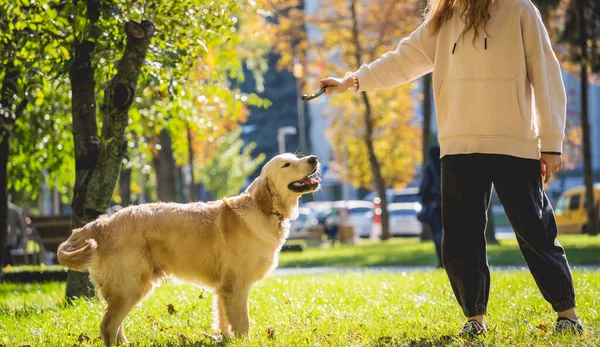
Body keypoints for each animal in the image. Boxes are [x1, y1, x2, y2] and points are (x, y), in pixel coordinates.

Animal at [57, 155, 318, 347]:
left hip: (130, 287)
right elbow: (243, 323)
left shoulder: (223, 288)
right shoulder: (236, 285)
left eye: (296, 157)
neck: (264, 210)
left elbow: (225, 321)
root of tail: (101, 224)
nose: (313, 158)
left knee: (114, 323)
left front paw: (226, 339)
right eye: (287, 164)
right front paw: (245, 341)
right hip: (131, 286)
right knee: (107, 325)